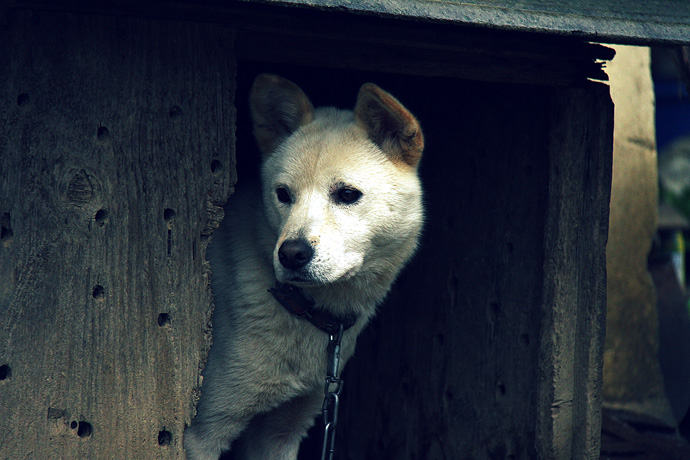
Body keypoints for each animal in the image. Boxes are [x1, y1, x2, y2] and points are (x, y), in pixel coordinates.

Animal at [185, 73, 424, 460]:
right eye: (283, 194)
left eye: (347, 194)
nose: (291, 254)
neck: (302, 310)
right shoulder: (203, 432)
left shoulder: (283, 430)